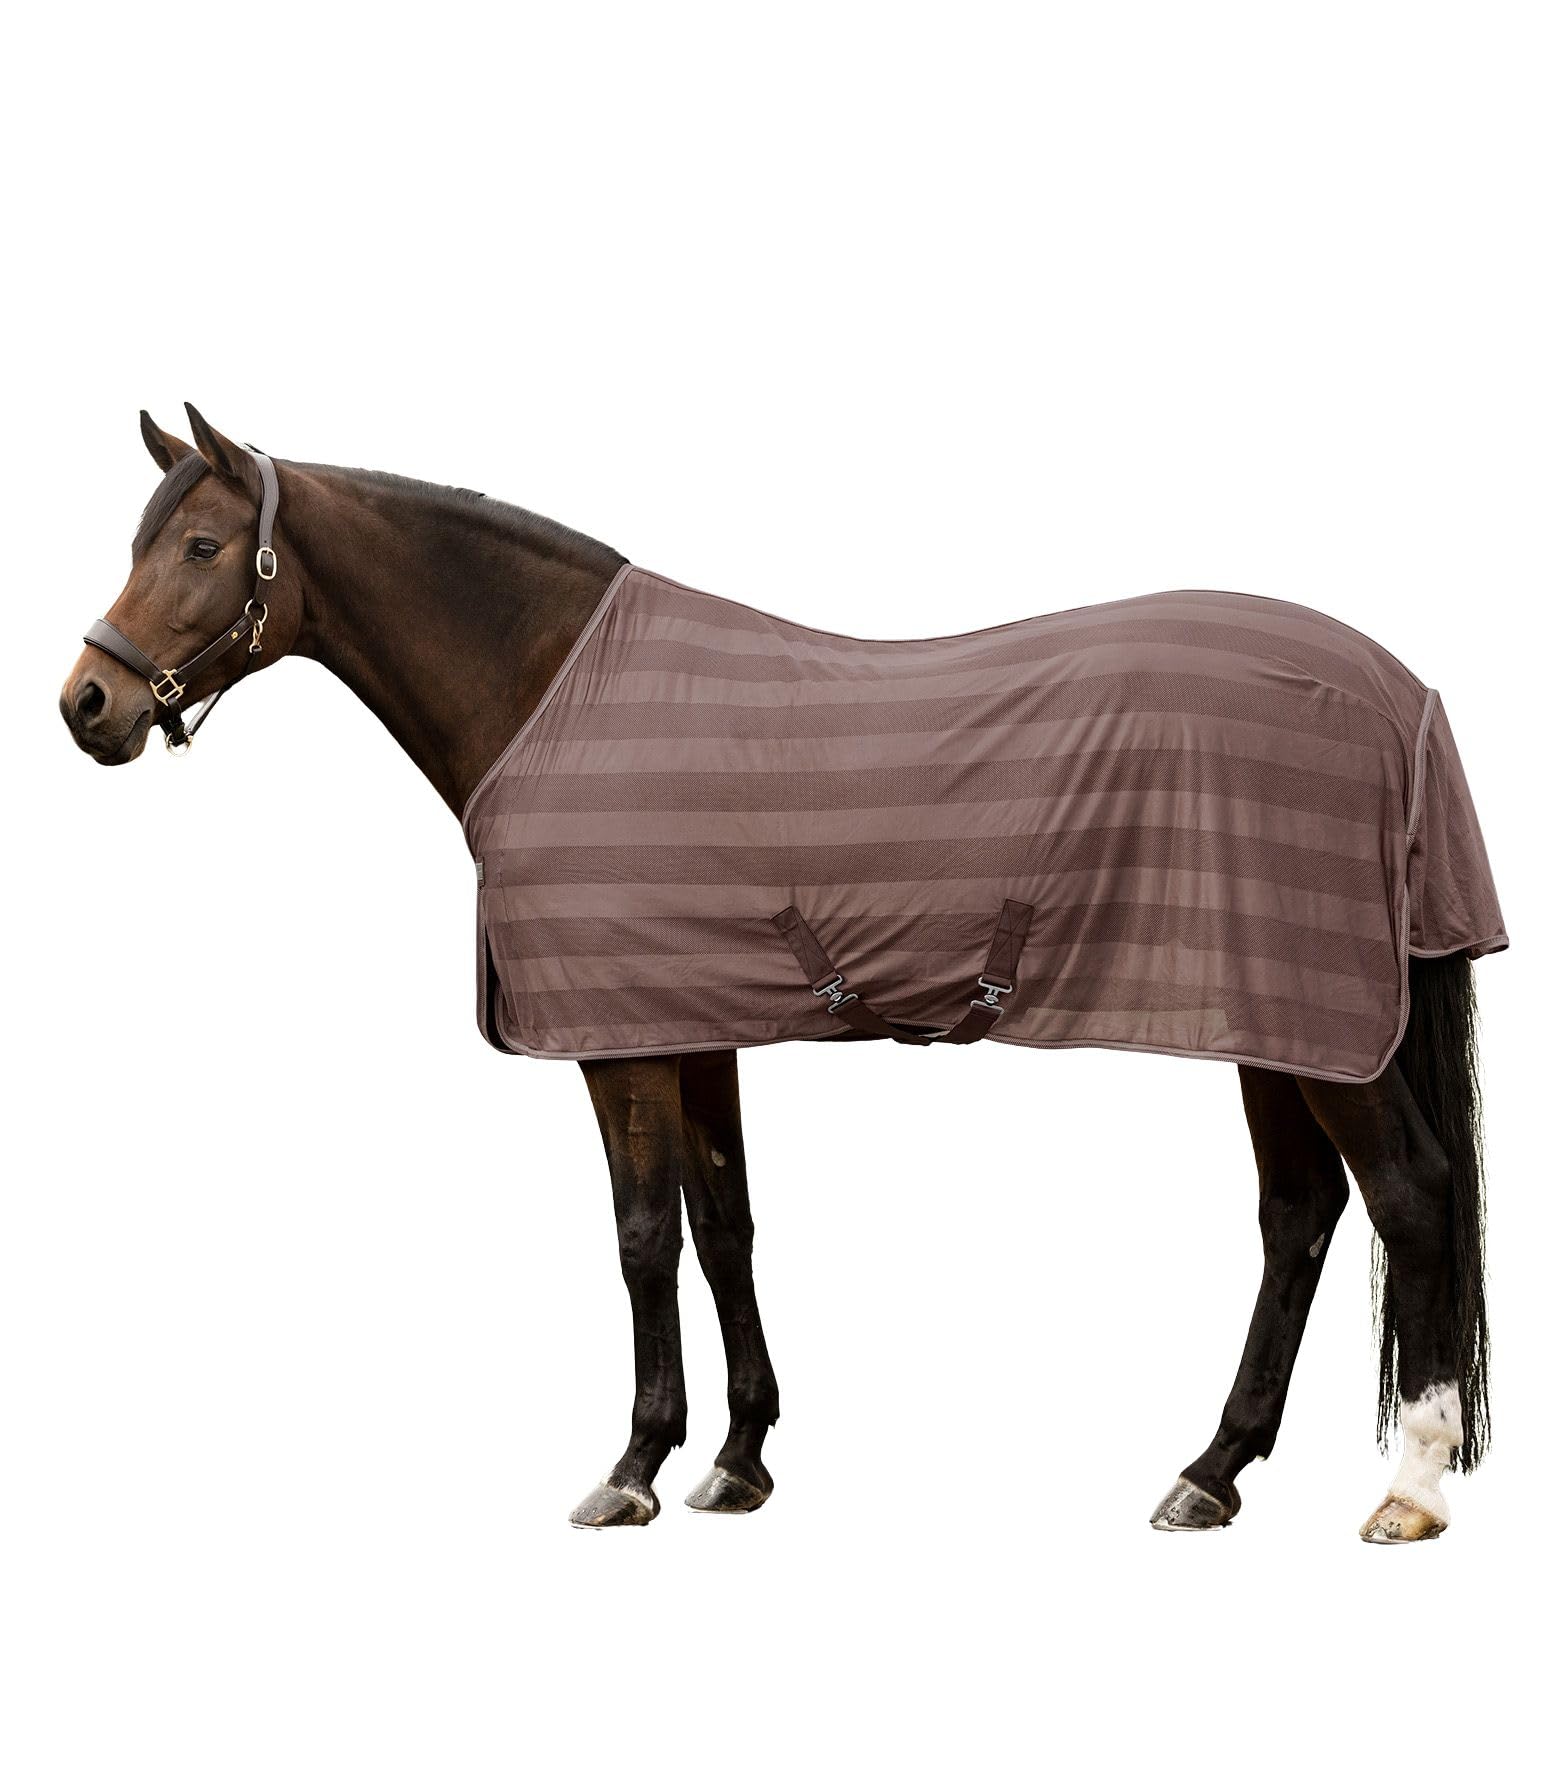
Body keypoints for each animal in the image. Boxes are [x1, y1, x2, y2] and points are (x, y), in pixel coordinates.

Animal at [60, 406, 1504, 1541]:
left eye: (200, 548)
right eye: (139, 542)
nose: (87, 706)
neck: (558, 694)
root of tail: (1400, 693)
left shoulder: (622, 1042)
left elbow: (642, 1238)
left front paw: (633, 1466)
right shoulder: (696, 1025)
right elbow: (724, 1227)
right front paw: (738, 1459)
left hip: (1326, 1028)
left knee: (1410, 1193)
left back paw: (1409, 1487)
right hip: (1277, 1020)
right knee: (1299, 1215)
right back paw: (1209, 1471)